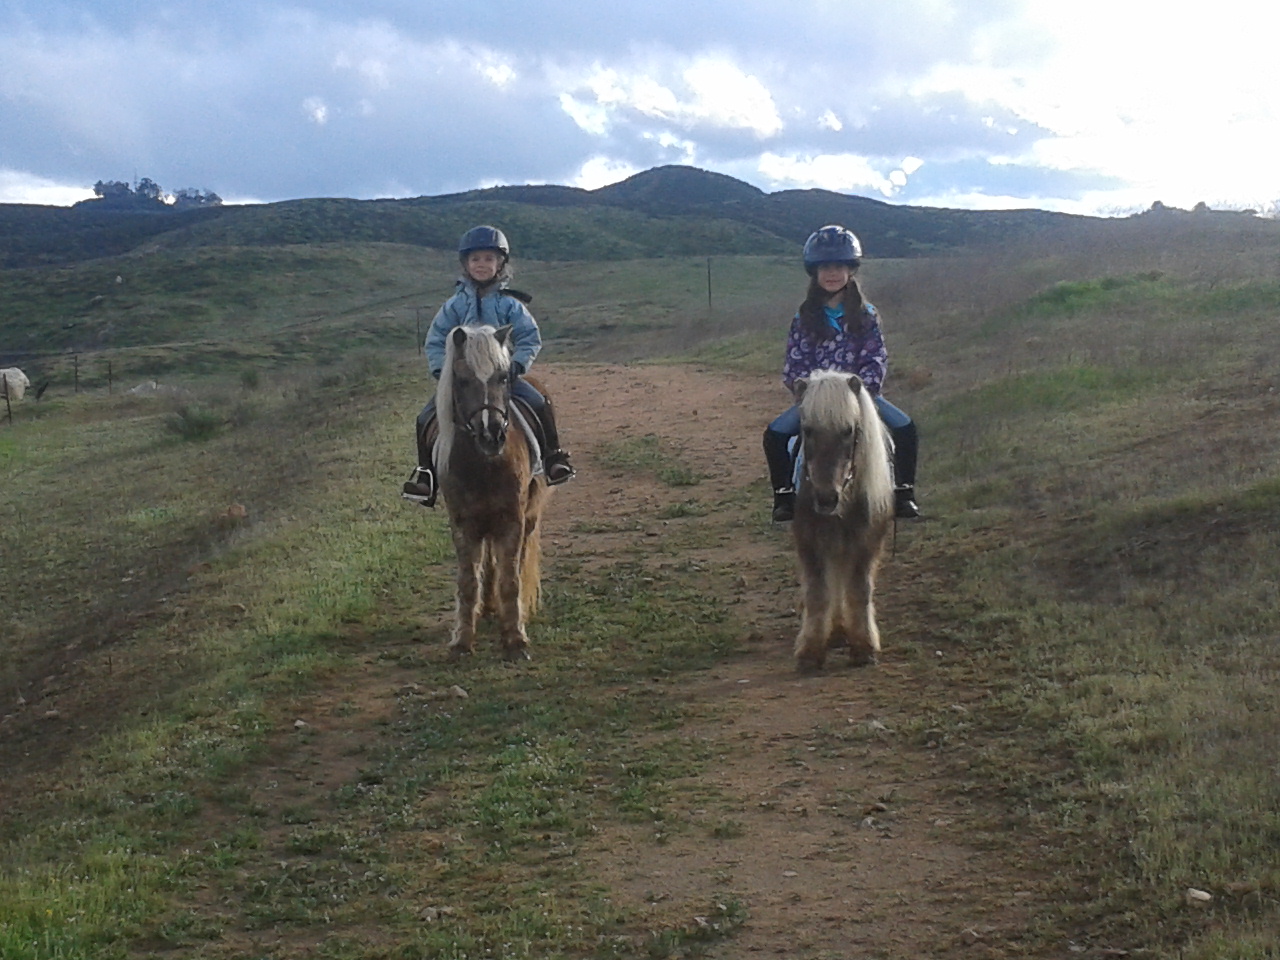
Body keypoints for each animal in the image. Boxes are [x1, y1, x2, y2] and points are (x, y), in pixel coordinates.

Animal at [435, 323, 550, 660]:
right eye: (461, 379)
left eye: (502, 376)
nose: (492, 434)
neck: (484, 465)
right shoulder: (463, 524)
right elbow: (468, 581)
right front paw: (462, 640)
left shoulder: (512, 520)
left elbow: (511, 579)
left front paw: (515, 638)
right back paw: (487, 608)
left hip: (528, 517)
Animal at [788, 371, 901, 670]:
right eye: (807, 430)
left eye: (849, 430)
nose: (826, 498)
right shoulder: (809, 540)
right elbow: (818, 593)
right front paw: (810, 650)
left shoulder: (867, 541)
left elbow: (860, 590)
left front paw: (864, 646)